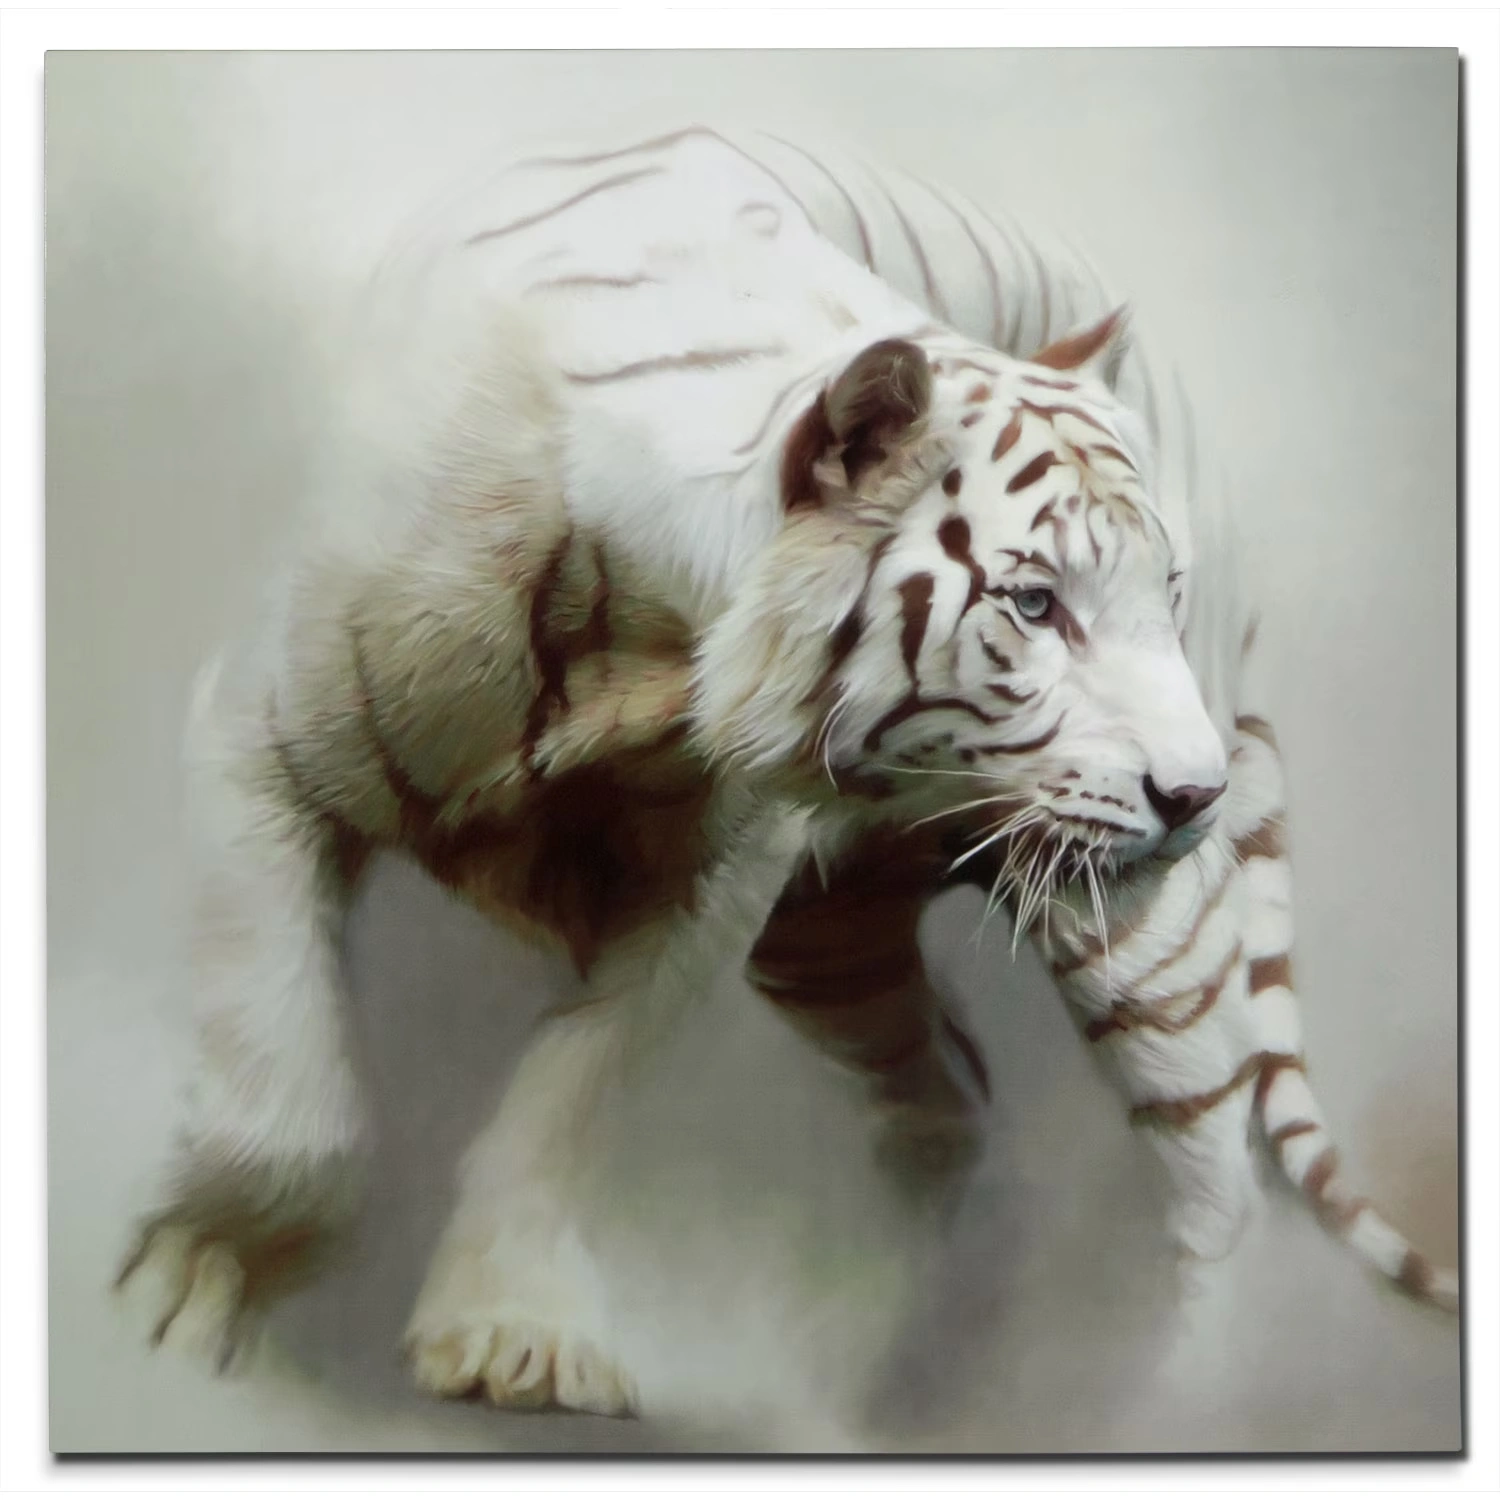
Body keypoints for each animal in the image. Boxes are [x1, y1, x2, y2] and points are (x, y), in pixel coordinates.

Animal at [114, 122, 1458, 1421]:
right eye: (1036, 604)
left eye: (1160, 596)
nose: (1197, 797)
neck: (647, 646)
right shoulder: (262, 740)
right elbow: (279, 1082)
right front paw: (190, 1291)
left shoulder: (709, 891)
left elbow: (574, 1089)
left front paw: (507, 1332)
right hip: (831, 949)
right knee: (951, 1097)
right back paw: (890, 1323)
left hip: (1130, 943)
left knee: (1211, 1184)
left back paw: (1172, 1396)